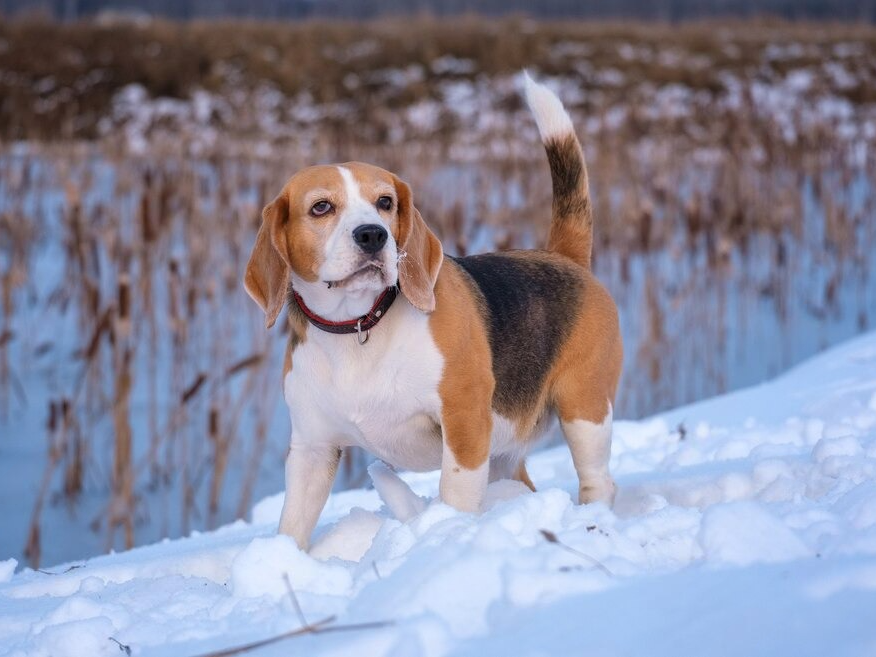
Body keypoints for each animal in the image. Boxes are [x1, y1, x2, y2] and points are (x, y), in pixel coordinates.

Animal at [243, 73, 620, 548]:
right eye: (321, 207)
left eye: (386, 202)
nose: (373, 235)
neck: (360, 325)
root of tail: (562, 256)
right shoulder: (312, 448)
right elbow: (292, 526)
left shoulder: (464, 420)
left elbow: (455, 493)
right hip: (506, 450)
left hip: (584, 409)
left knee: (598, 478)